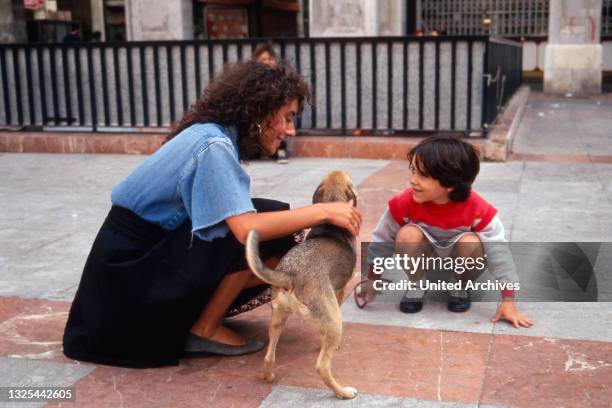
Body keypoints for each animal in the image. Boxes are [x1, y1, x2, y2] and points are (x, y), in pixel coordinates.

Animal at [245, 170, 358, 398]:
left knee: (269, 356)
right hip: (334, 323)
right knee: (322, 367)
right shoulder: (340, 292)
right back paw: (343, 392)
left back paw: (268, 376)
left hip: (277, 318)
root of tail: (291, 276)